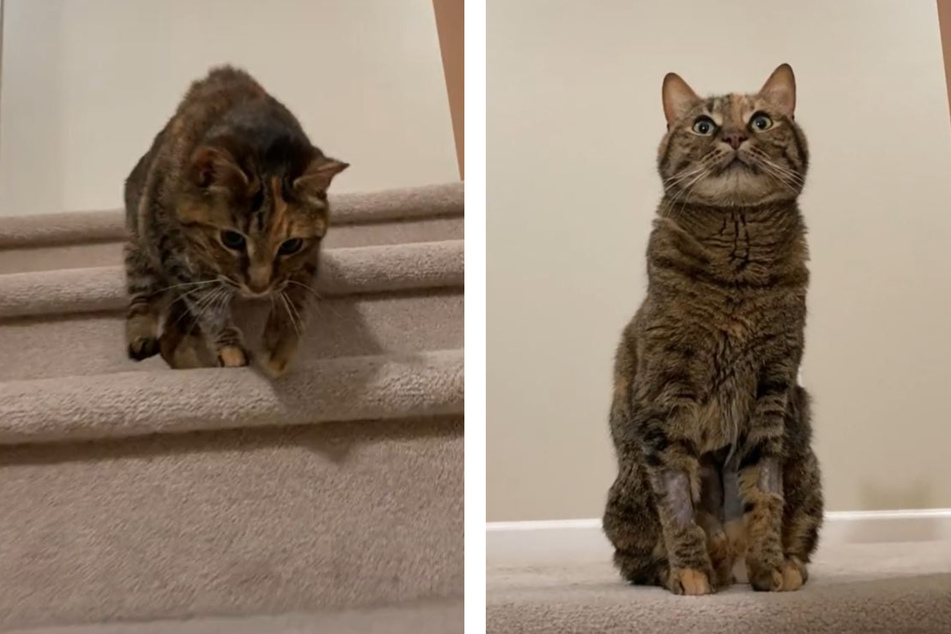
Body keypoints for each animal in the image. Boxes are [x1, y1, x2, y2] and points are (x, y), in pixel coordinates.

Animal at [124, 66, 348, 376]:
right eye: (232, 239)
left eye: (290, 245)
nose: (258, 288)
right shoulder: (176, 252)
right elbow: (208, 304)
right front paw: (230, 348)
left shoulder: (309, 253)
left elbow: (298, 291)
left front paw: (279, 346)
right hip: (141, 246)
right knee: (142, 300)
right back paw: (143, 336)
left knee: (171, 337)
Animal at [608, 64, 820, 592]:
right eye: (703, 126)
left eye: (761, 120)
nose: (735, 135)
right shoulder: (666, 395)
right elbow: (677, 500)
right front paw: (689, 569)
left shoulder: (772, 390)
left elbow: (766, 494)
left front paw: (769, 566)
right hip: (624, 499)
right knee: (636, 559)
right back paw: (684, 568)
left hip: (806, 464)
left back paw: (781, 564)